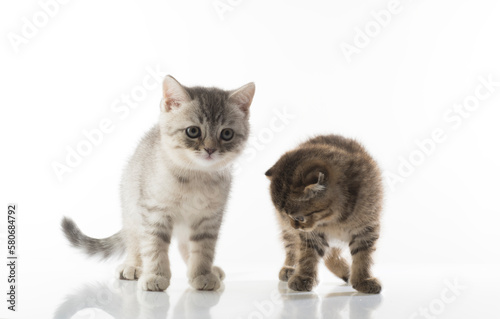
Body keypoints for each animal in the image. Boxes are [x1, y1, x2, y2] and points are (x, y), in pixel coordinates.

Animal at [62, 76, 256, 292]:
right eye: (193, 131)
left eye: (227, 134)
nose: (210, 149)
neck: (195, 177)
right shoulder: (154, 212)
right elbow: (154, 246)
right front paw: (155, 275)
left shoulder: (209, 218)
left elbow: (203, 249)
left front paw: (203, 273)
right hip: (131, 209)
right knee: (134, 241)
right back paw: (133, 266)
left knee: (183, 246)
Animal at [266, 135, 382, 296]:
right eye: (284, 215)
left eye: (299, 218)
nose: (294, 226)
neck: (336, 219)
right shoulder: (312, 234)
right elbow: (308, 254)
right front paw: (304, 277)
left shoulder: (366, 228)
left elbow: (364, 255)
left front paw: (363, 279)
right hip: (288, 232)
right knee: (292, 246)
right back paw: (290, 268)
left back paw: (347, 272)